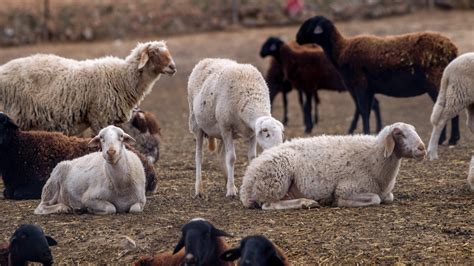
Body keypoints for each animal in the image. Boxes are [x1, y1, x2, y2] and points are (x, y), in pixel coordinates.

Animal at [0, 40, 177, 136]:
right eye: (153, 53)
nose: (173, 67)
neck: (122, 77)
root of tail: (3, 70)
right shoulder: (99, 116)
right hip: (14, 113)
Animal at [188, 58, 286, 200]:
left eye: (281, 134)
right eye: (267, 134)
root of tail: (206, 60)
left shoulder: (251, 133)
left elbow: (252, 157)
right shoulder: (226, 127)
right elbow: (231, 158)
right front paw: (230, 192)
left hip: (219, 132)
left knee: (220, 153)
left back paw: (227, 181)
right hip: (197, 125)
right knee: (199, 156)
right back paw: (199, 190)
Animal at [241, 122, 426, 210]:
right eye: (399, 133)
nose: (422, 148)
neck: (374, 156)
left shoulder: (384, 191)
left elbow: (388, 197)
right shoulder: (348, 187)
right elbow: (375, 199)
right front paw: (339, 202)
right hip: (274, 181)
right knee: (269, 205)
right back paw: (306, 203)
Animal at [296, 15, 460, 144]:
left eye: (309, 24)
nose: (297, 38)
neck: (341, 50)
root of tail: (452, 49)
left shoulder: (360, 85)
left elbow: (364, 110)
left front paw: (366, 132)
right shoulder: (368, 89)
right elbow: (368, 109)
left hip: (435, 80)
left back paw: (449, 139)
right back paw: (449, 139)